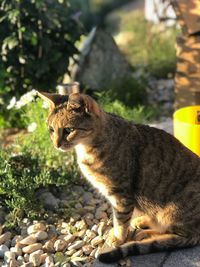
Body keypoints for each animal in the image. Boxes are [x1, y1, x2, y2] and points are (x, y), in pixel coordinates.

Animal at [37, 92, 200, 264]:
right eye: (51, 129)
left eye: (69, 129)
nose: (56, 144)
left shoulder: (121, 194)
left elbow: (120, 220)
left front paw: (117, 238)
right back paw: (143, 222)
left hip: (172, 211)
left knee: (180, 236)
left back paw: (145, 234)